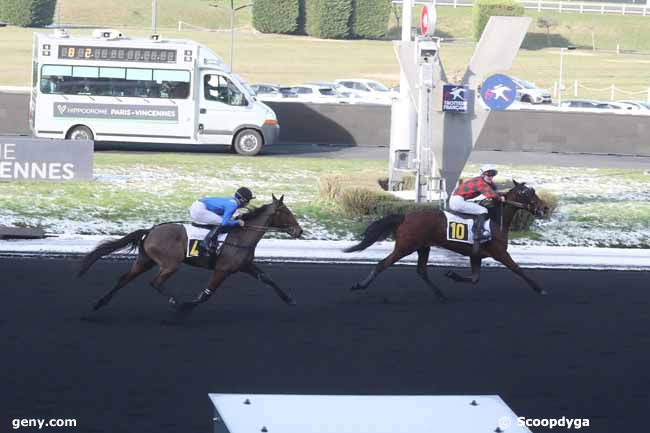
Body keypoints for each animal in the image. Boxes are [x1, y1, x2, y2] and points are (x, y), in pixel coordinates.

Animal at [342, 180, 548, 300]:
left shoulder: (476, 255)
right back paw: (360, 285)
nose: (545, 208)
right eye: (528, 193)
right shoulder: (500, 253)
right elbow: (518, 269)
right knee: (382, 264)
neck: (496, 219)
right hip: (405, 247)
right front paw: (540, 289)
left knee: (421, 270)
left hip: (423, 247)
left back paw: (439, 293)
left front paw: (452, 274)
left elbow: (475, 279)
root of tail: (405, 216)